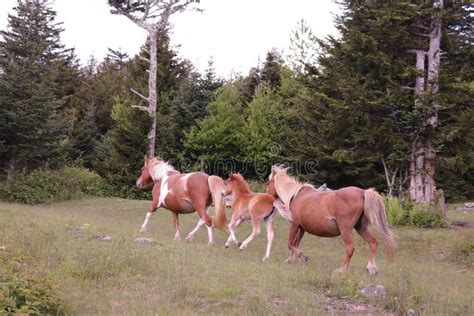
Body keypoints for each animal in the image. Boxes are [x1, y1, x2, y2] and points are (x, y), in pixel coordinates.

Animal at [266, 165, 396, 274]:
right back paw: (371, 268)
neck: (296, 195)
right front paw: (291, 260)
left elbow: (290, 244)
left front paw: (303, 257)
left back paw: (341, 269)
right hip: (360, 228)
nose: (268, 197)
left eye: (268, 182)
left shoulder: (295, 224)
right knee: (373, 242)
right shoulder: (301, 228)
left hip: (345, 230)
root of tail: (363, 192)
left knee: (350, 248)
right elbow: (295, 243)